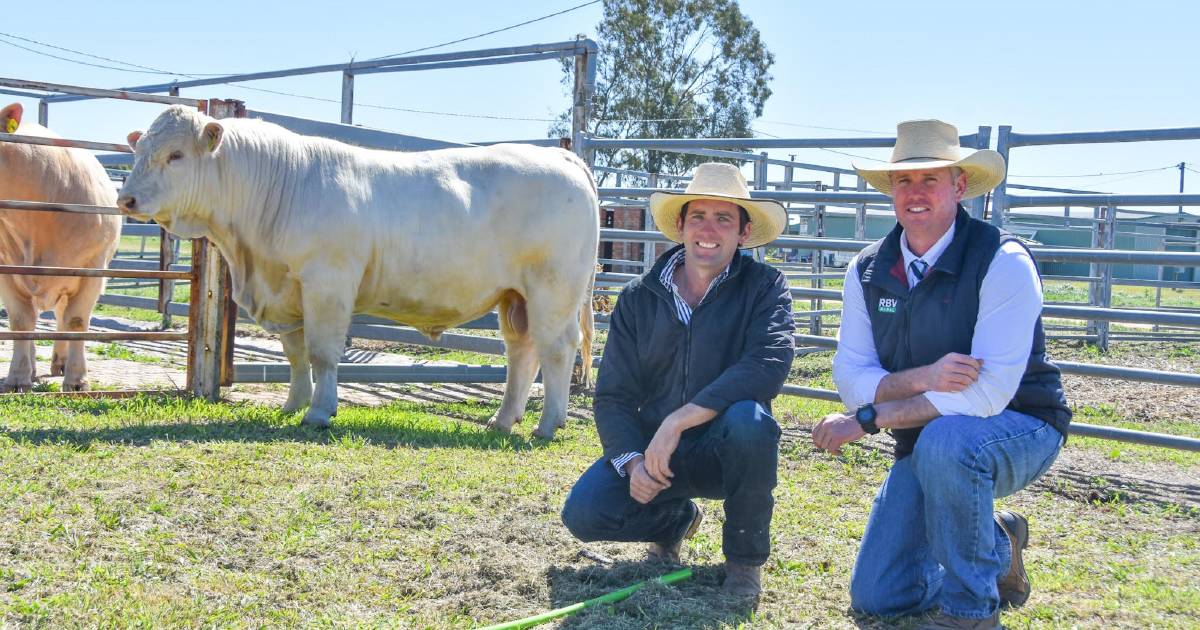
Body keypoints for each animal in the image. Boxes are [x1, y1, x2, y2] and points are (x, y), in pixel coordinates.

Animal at [0, 100, 120, 391]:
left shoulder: (92, 270)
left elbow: (75, 321)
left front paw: (77, 380)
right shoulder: (6, 270)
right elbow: (20, 321)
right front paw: (17, 377)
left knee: (63, 316)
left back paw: (62, 363)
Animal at [117, 104, 595, 436]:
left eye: (176, 155)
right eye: (138, 150)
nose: (126, 199)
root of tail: (562, 158)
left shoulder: (326, 283)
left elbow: (323, 353)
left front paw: (319, 411)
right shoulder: (288, 292)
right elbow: (295, 355)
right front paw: (292, 404)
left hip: (553, 290)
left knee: (557, 349)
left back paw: (547, 424)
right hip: (515, 296)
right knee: (521, 352)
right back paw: (502, 419)